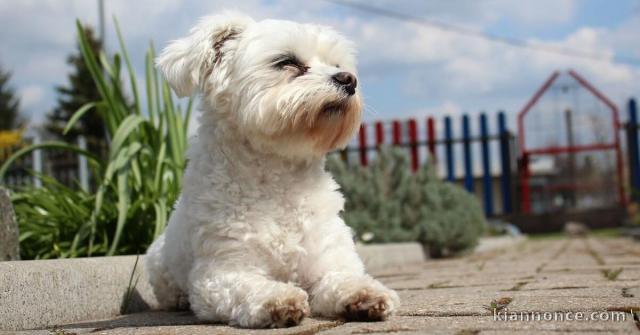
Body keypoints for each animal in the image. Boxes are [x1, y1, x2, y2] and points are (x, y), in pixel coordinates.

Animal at [146, 11, 400, 330]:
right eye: (286, 62)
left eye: (337, 65)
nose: (348, 79)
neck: (280, 179)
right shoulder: (221, 274)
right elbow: (248, 287)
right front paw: (277, 299)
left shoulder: (327, 258)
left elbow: (342, 278)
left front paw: (365, 293)